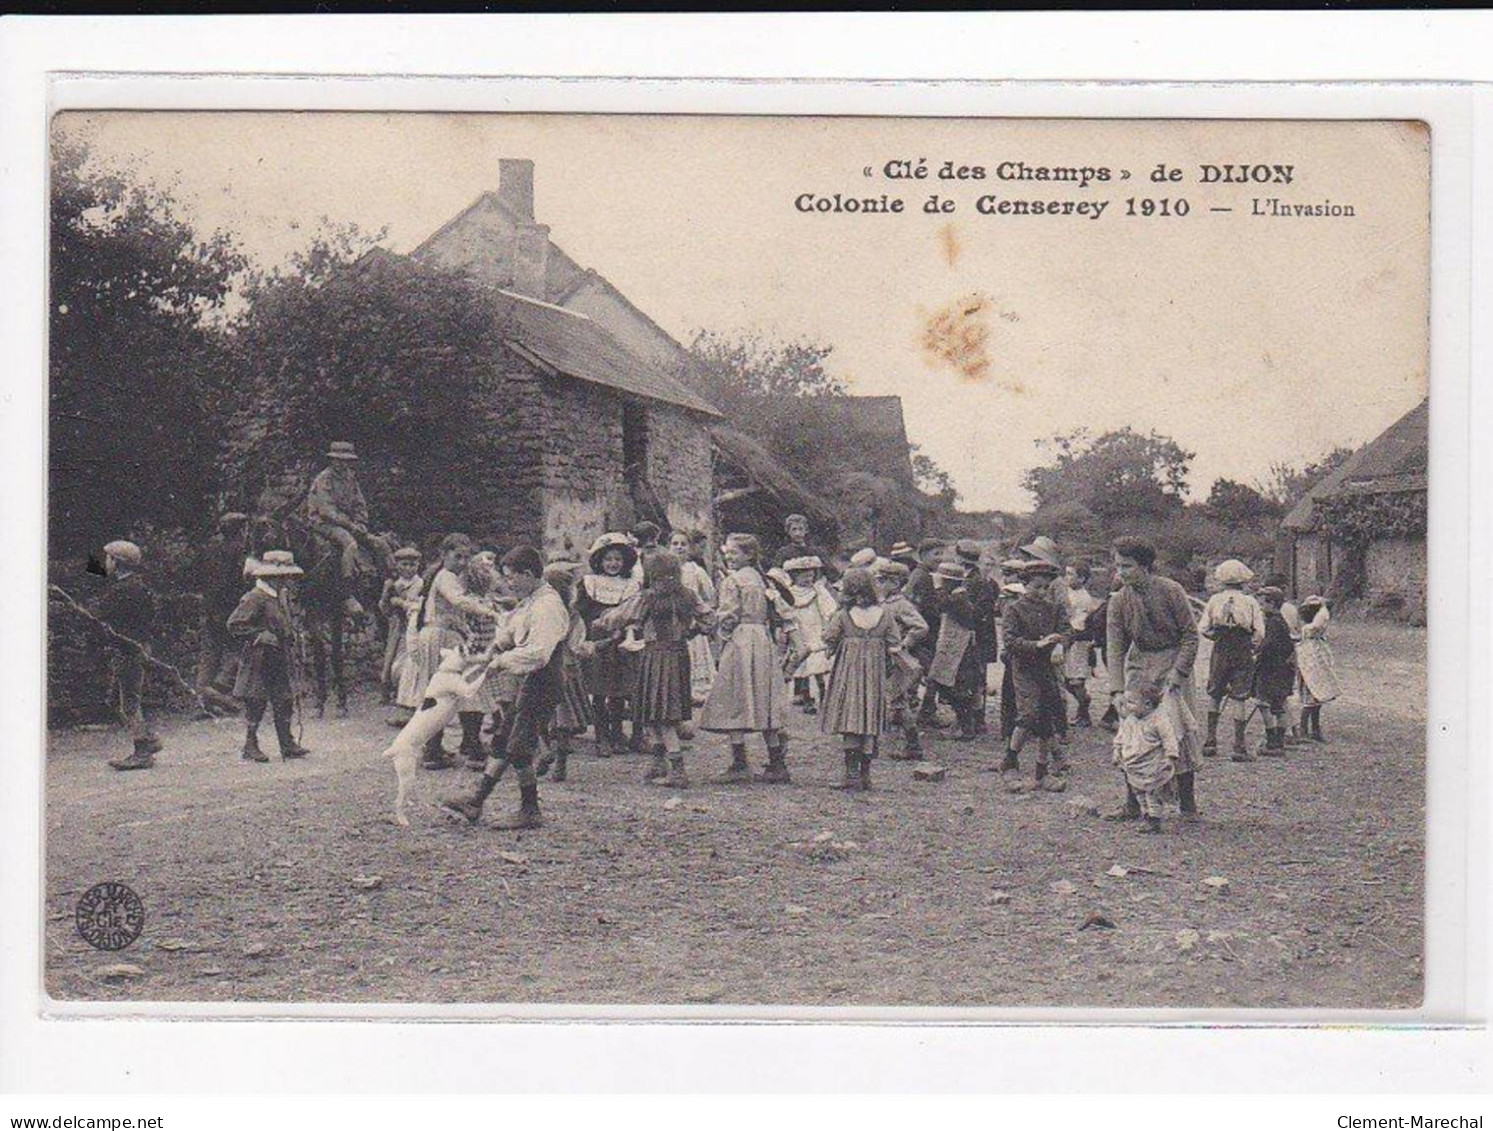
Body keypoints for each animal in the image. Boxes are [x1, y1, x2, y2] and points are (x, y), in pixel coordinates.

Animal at [388, 650, 492, 829]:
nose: (487, 653)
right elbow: (477, 677)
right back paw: (403, 820)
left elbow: (469, 673)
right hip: (407, 774)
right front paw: (490, 665)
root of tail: (393, 749)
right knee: (397, 802)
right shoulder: (467, 689)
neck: (446, 670)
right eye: (473, 650)